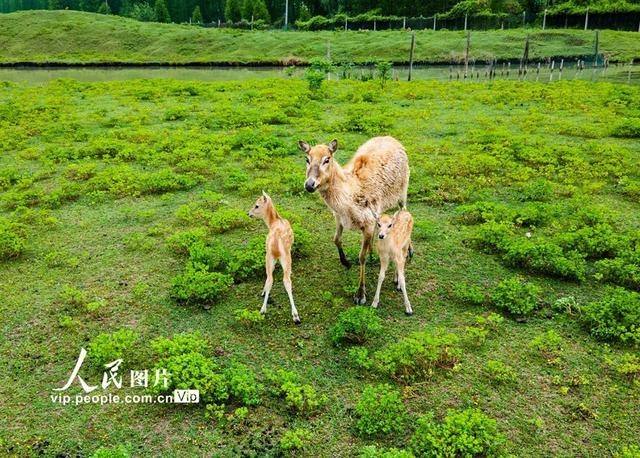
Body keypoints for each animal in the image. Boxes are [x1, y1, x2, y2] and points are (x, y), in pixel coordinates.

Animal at [300, 138, 410, 306]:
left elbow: (361, 257)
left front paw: (361, 294)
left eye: (327, 159)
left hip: (402, 192)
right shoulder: (339, 218)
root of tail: (393, 139)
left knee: (404, 212)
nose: (309, 184)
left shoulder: (368, 222)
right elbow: (336, 239)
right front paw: (346, 262)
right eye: (307, 159)